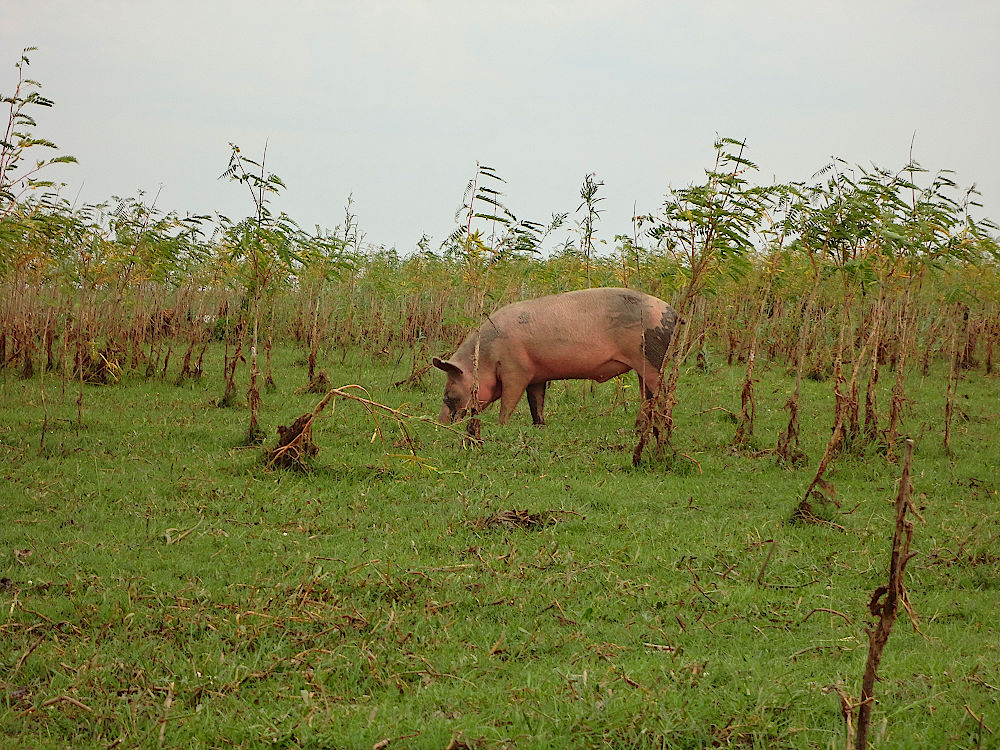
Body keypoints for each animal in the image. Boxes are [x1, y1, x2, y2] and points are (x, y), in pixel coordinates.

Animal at [432, 288, 680, 426]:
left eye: (448, 393)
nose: (440, 422)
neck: (485, 357)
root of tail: (675, 313)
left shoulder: (517, 370)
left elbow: (508, 402)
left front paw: (501, 425)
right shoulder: (536, 375)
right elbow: (536, 401)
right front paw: (539, 425)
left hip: (652, 357)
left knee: (662, 391)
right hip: (643, 363)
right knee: (647, 395)